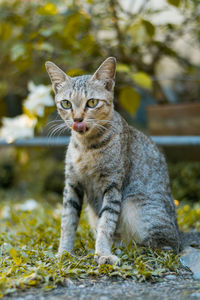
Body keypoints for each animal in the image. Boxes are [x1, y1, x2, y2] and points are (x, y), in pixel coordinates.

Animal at [45, 56, 192, 264]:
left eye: (92, 102)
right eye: (66, 103)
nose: (77, 119)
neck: (86, 148)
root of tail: (180, 232)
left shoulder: (113, 185)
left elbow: (106, 223)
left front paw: (102, 254)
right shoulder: (72, 184)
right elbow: (68, 221)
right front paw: (64, 253)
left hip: (135, 204)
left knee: (166, 246)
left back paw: (132, 250)